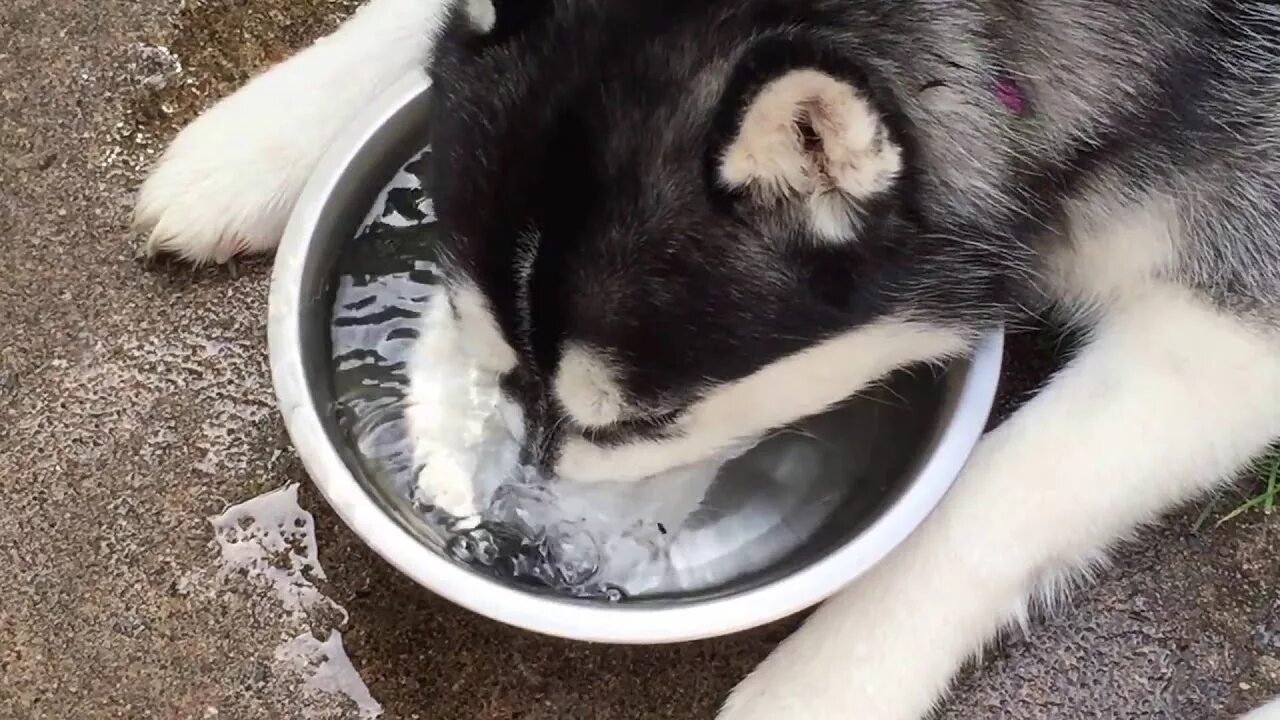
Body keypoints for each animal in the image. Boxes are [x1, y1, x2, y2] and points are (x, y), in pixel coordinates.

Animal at [137, 0, 1280, 712]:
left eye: (641, 420)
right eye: (499, 362)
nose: (518, 553)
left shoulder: (1232, 324)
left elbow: (996, 498)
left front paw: (824, 682)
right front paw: (261, 139)